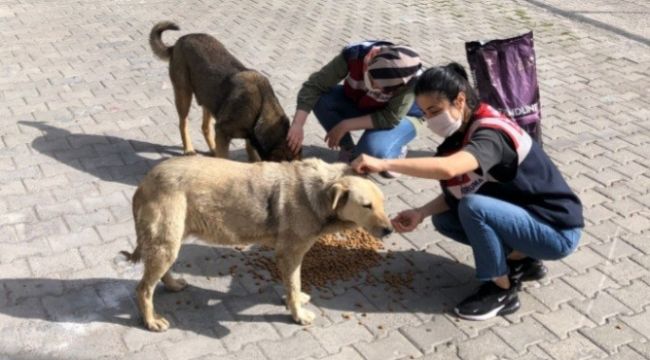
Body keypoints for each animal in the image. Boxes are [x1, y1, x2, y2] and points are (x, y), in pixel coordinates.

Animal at [148, 20, 298, 160]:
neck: (261, 109)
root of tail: (178, 43)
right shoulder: (222, 132)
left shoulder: (249, 142)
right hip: (184, 95)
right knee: (182, 123)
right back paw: (189, 149)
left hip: (208, 98)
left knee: (205, 127)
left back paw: (212, 150)